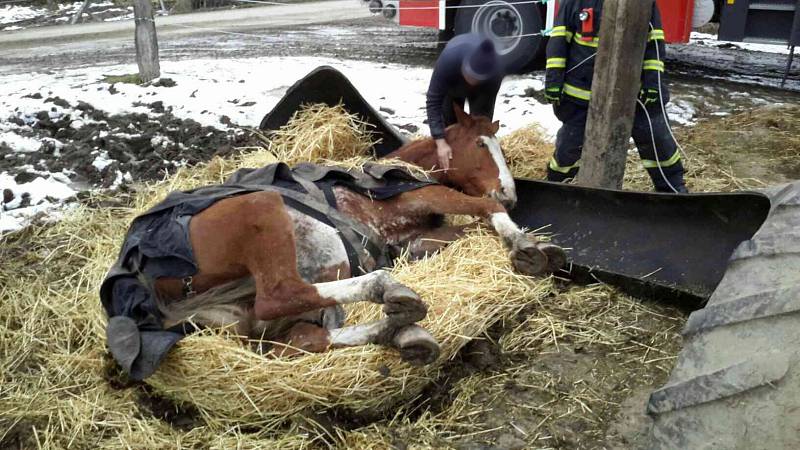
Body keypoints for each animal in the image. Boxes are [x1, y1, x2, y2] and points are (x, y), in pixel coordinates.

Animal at [106, 107, 564, 374]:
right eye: (481, 144)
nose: (510, 192)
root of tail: (145, 281)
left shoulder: (412, 240)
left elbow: (461, 232)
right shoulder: (425, 196)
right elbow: (482, 208)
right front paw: (530, 248)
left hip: (246, 320)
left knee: (302, 339)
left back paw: (402, 332)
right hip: (264, 214)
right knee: (281, 295)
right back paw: (390, 294)